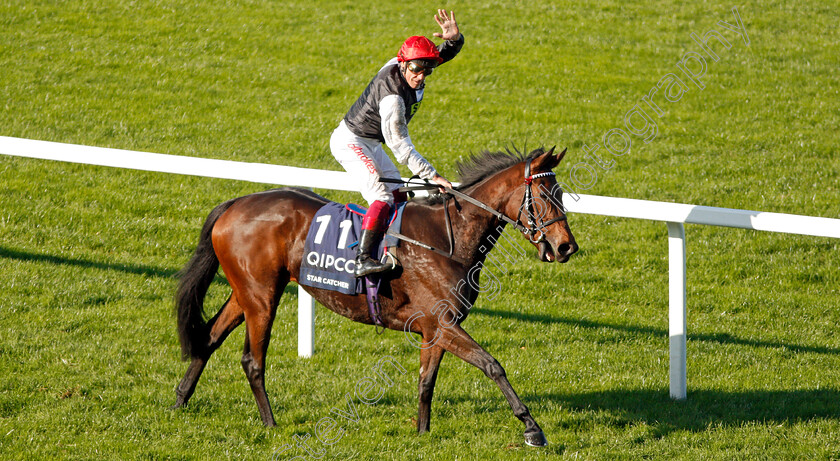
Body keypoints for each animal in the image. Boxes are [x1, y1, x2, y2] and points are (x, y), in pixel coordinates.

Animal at [171, 146, 576, 446]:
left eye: (562, 195)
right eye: (544, 196)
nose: (565, 247)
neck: (449, 238)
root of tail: (235, 202)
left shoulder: (435, 328)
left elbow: (426, 382)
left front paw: (422, 432)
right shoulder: (444, 322)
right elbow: (493, 365)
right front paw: (532, 428)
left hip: (247, 292)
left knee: (209, 338)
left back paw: (179, 401)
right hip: (262, 297)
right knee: (252, 361)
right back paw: (270, 423)